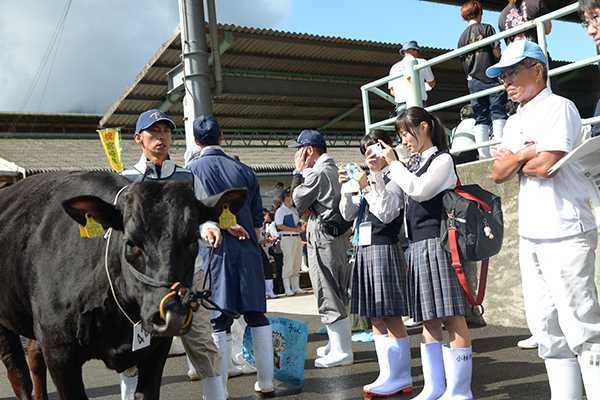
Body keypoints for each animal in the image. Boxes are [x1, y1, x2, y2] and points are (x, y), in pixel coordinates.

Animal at [0, 170, 246, 398]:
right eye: (130, 243)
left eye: (194, 240)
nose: (172, 315)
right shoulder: (58, 349)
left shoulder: (157, 348)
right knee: (18, 371)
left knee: (34, 357)